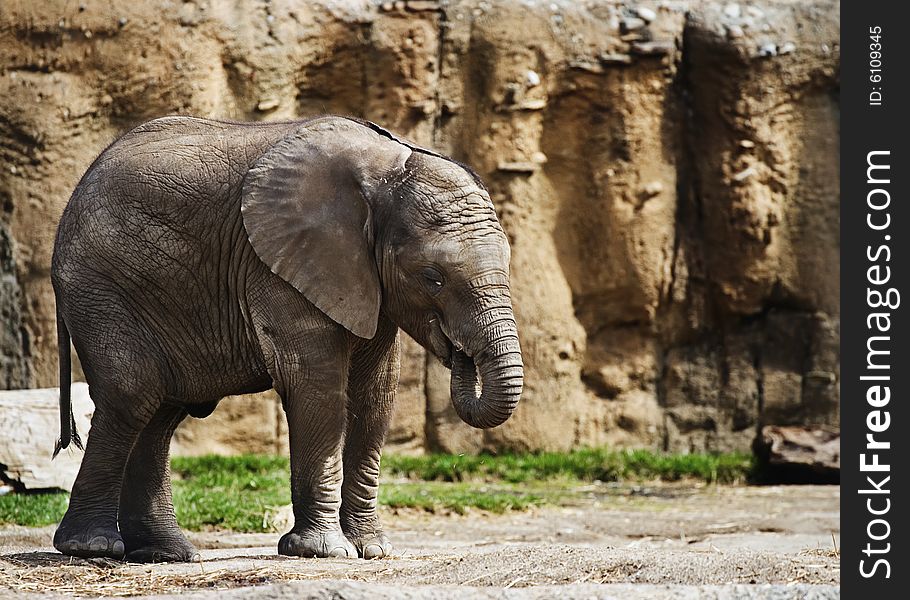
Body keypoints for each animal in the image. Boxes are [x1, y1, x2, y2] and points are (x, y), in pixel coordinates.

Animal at [51, 116, 520, 564]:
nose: (460, 353)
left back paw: (167, 554)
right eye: (433, 277)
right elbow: (317, 387)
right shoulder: (280, 265)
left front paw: (372, 550)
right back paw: (92, 547)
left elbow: (376, 395)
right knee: (134, 395)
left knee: (160, 412)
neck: (387, 172)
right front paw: (326, 551)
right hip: (101, 288)